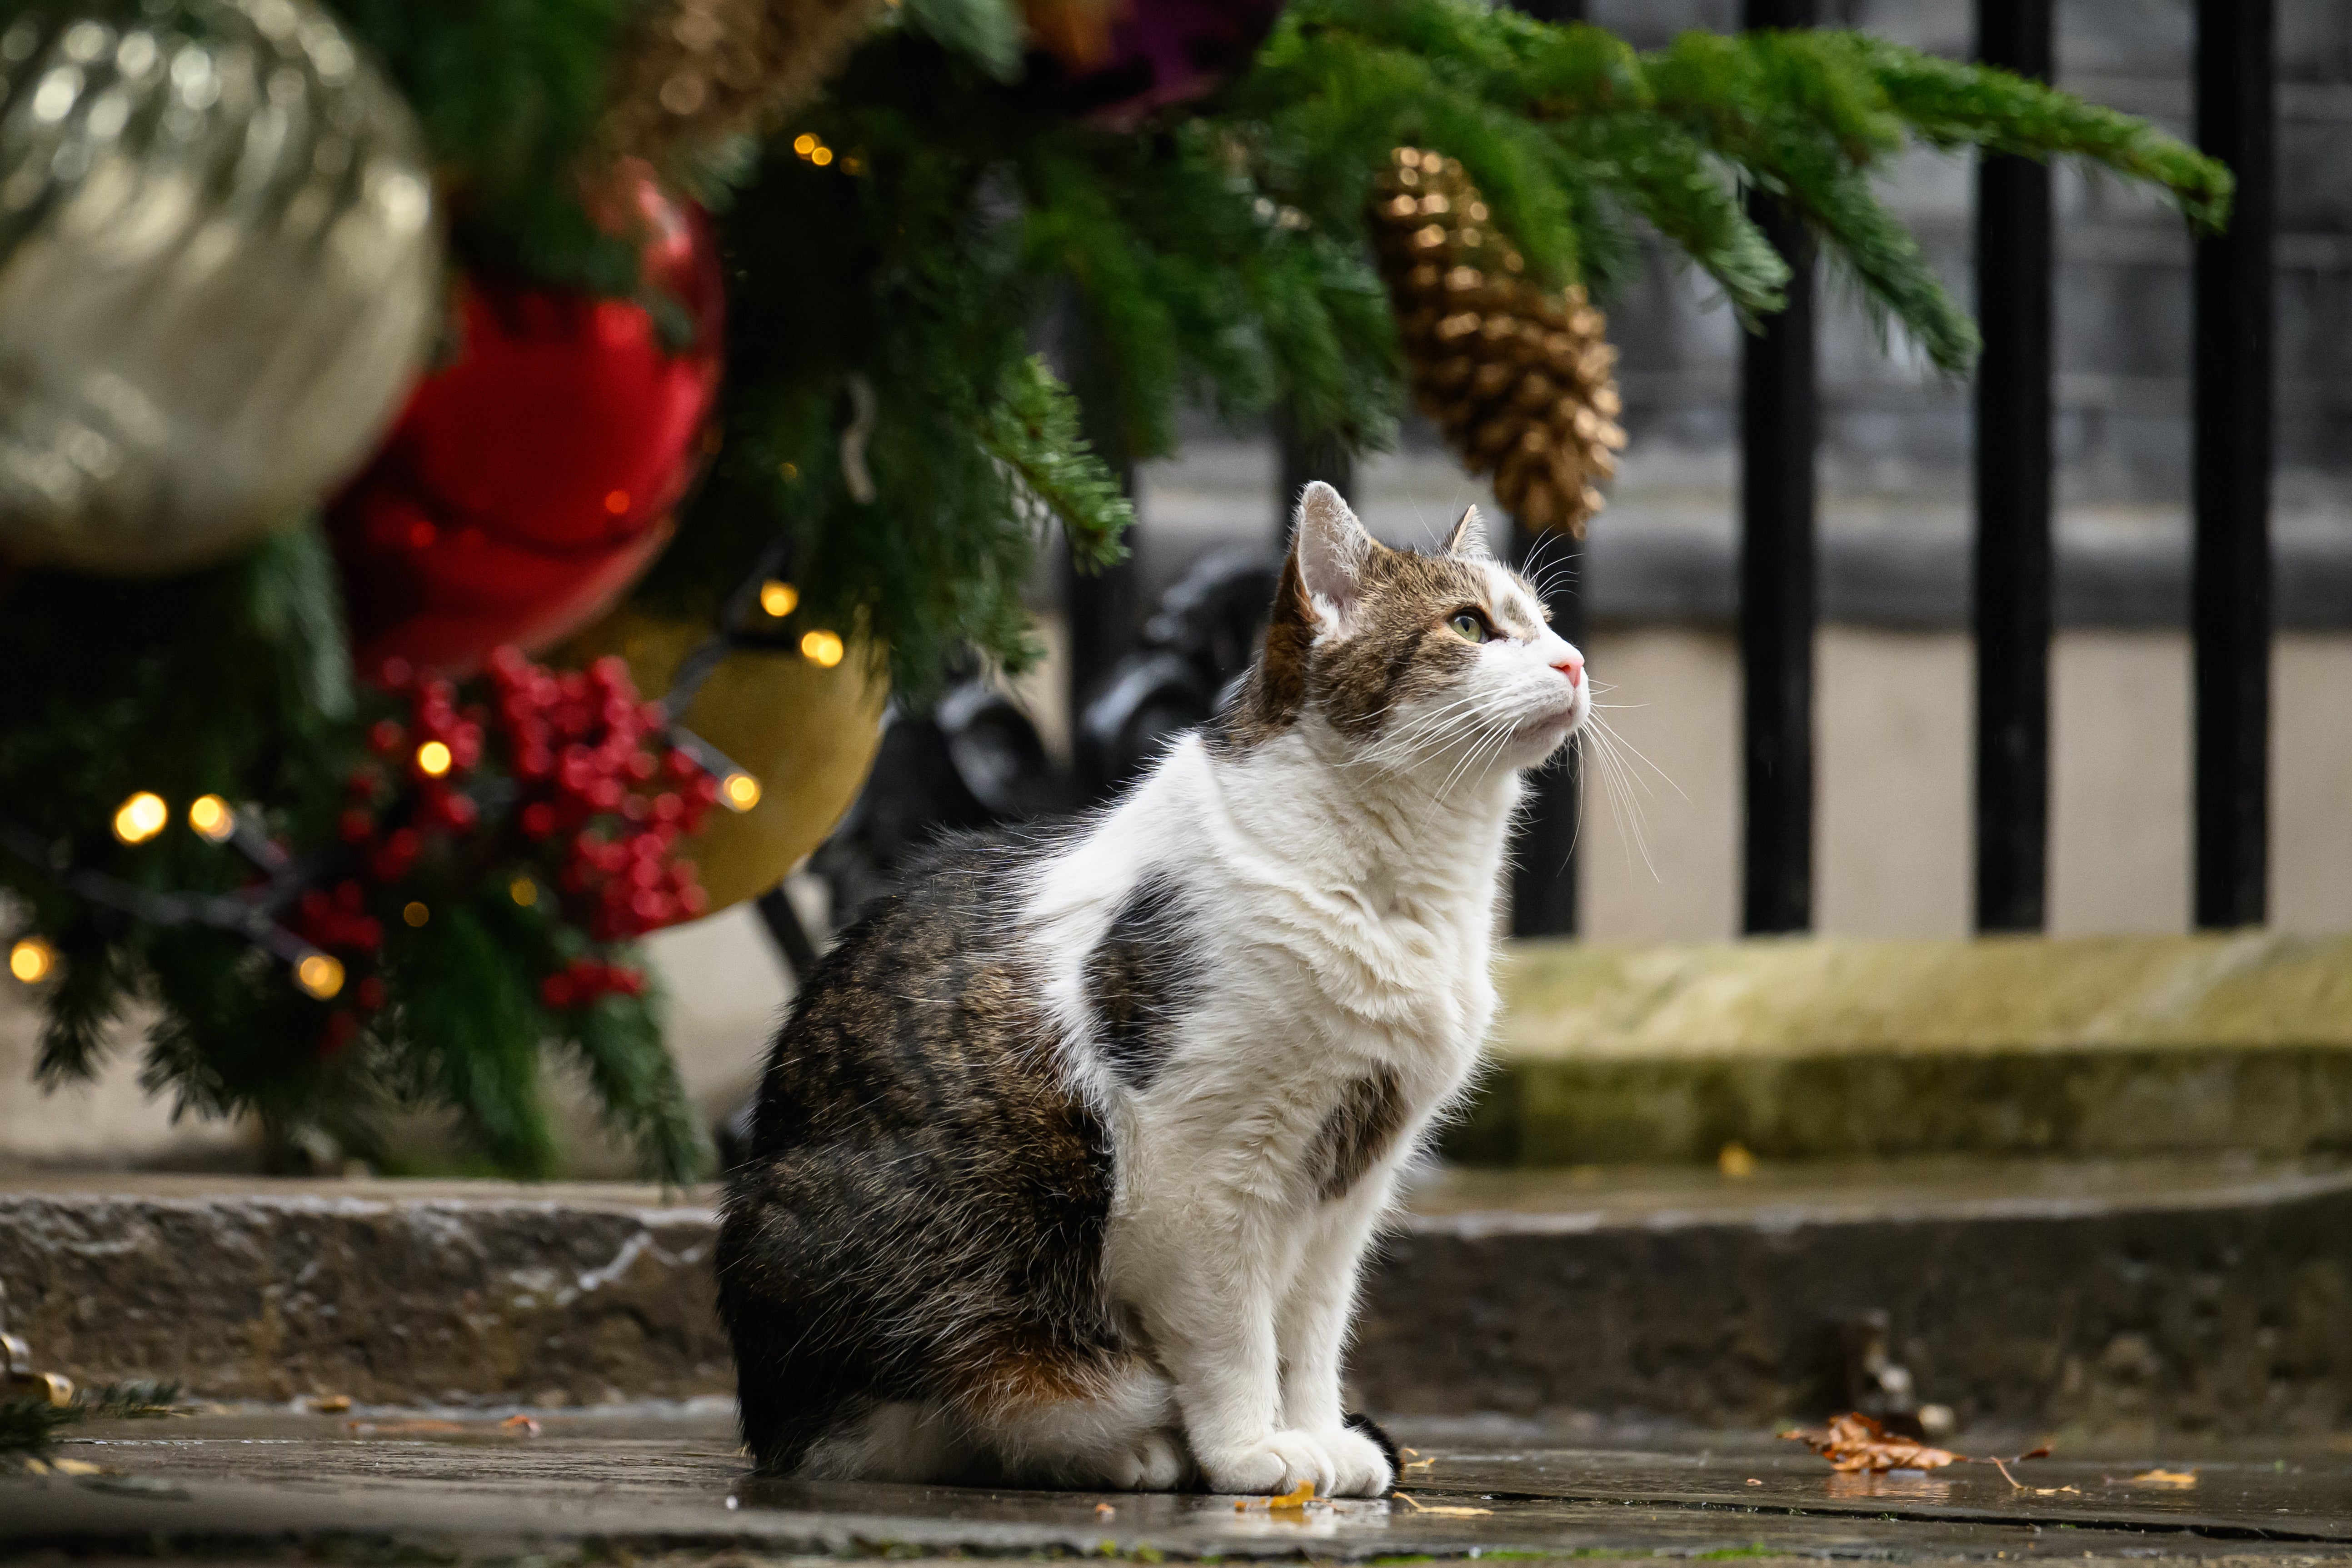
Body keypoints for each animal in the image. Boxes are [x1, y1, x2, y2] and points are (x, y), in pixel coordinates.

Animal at [715, 484, 1590, 1504]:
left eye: (1545, 622)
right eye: (1469, 626)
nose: (1573, 661)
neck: (1402, 888)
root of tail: (767, 1421)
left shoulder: (1350, 1191)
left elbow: (1310, 1334)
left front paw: (1317, 1435)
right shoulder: (1199, 1174)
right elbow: (1235, 1335)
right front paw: (1253, 1451)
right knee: (943, 1419)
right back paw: (1125, 1446)